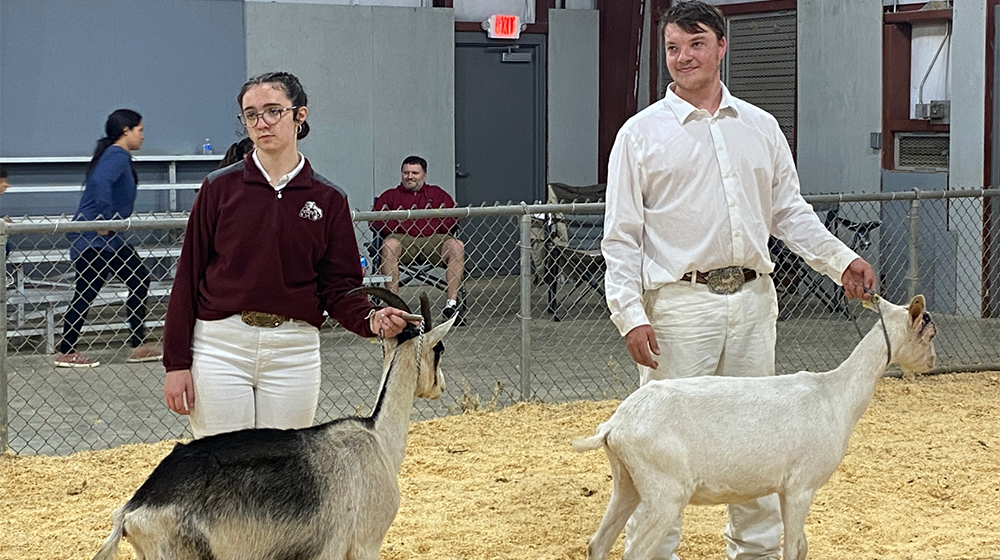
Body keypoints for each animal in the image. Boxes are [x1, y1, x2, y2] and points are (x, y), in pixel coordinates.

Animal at [572, 296, 936, 556]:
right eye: (929, 333)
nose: (932, 362)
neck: (835, 395)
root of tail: (615, 425)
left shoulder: (786, 488)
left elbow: (801, 546)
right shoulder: (801, 485)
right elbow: (794, 547)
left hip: (628, 482)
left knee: (597, 544)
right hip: (665, 490)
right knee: (634, 551)